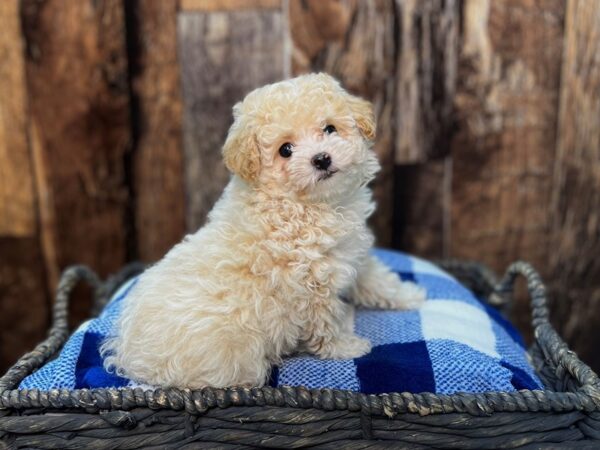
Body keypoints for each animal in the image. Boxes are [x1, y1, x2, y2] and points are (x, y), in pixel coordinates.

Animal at [105, 72, 428, 388]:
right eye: (286, 150)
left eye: (329, 129)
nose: (321, 158)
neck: (310, 205)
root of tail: (129, 355)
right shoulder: (311, 286)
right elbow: (325, 324)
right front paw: (347, 347)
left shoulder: (352, 252)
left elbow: (376, 278)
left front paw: (409, 295)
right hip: (234, 355)